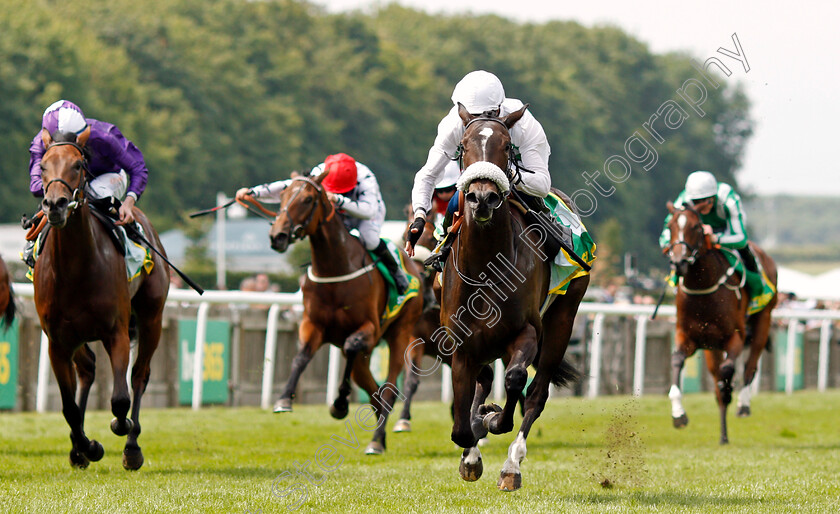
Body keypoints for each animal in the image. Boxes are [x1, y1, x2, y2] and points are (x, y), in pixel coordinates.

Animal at [34, 129, 169, 468]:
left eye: (78, 165)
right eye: (42, 166)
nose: (55, 205)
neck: (75, 267)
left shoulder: (116, 331)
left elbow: (120, 399)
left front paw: (120, 428)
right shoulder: (57, 342)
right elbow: (68, 408)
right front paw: (86, 447)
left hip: (151, 317)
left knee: (139, 375)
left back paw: (132, 447)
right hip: (77, 336)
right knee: (87, 370)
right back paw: (77, 449)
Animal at [270, 171, 424, 452]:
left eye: (307, 199)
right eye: (283, 195)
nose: (278, 236)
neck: (335, 268)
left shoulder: (369, 329)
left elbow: (352, 346)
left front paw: (340, 403)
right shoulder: (313, 325)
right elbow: (301, 356)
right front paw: (284, 398)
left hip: (401, 333)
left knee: (389, 389)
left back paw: (376, 440)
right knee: (373, 389)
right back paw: (380, 433)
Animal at [442, 103, 588, 488]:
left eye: (507, 146)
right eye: (463, 145)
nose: (482, 198)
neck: (486, 267)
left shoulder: (527, 331)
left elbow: (516, 381)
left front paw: (493, 419)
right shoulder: (462, 344)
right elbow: (462, 424)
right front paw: (472, 446)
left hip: (563, 319)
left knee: (536, 394)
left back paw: (512, 465)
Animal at [668, 202, 776, 442]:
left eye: (696, 227)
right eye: (670, 227)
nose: (679, 263)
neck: (702, 288)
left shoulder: (734, 337)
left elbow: (728, 370)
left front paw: (729, 391)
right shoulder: (687, 336)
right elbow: (677, 361)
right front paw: (679, 415)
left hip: (763, 319)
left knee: (749, 367)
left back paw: (743, 405)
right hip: (712, 348)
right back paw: (723, 436)